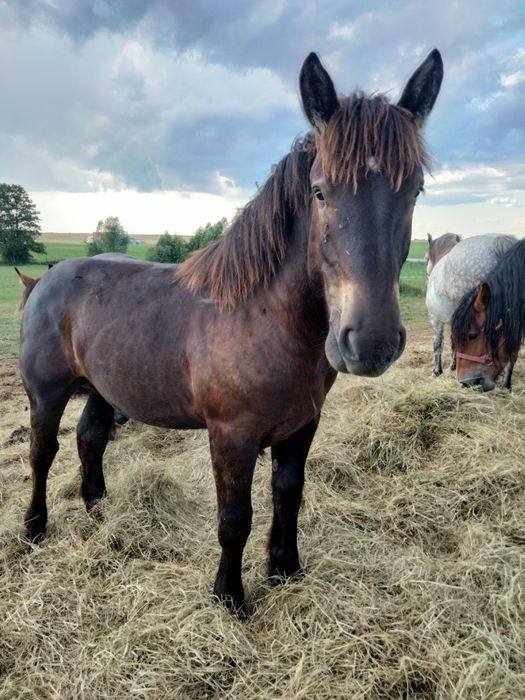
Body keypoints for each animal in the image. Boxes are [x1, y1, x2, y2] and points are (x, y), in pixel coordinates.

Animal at [18, 49, 440, 612]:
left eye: (415, 189)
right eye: (320, 191)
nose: (369, 343)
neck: (263, 320)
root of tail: (48, 279)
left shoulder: (302, 426)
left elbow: (288, 494)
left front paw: (285, 569)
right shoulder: (231, 438)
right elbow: (235, 518)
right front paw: (230, 597)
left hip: (104, 388)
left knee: (90, 440)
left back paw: (98, 510)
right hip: (46, 394)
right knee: (43, 453)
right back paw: (34, 528)